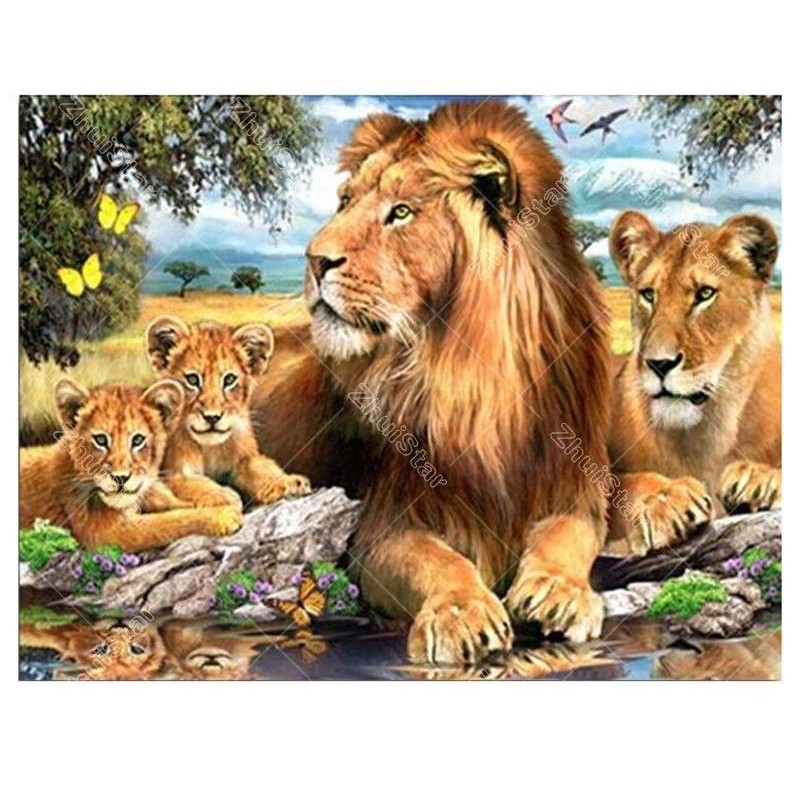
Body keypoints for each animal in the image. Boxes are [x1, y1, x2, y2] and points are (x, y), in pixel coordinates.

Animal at [20, 380, 242, 550]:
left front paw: (222, 497)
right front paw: (223, 516)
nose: (120, 478)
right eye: (100, 440)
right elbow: (168, 522)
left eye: (137, 440)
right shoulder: (106, 534)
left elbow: (174, 499)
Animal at [145, 317, 311, 509]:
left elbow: (262, 467)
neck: (210, 448)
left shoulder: (245, 458)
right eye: (192, 380)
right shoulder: (173, 473)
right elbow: (194, 483)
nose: (212, 417)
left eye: (229, 379)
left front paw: (289, 482)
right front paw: (222, 495)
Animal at [251, 101, 612, 664]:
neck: (472, 380)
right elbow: (433, 558)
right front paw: (462, 613)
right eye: (345, 202)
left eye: (401, 212)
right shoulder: (379, 526)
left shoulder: (574, 483)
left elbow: (569, 533)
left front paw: (558, 591)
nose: (314, 259)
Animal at [607, 211, 781, 555]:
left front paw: (757, 479)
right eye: (649, 294)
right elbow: (615, 482)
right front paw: (665, 499)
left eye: (705, 294)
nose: (659, 363)